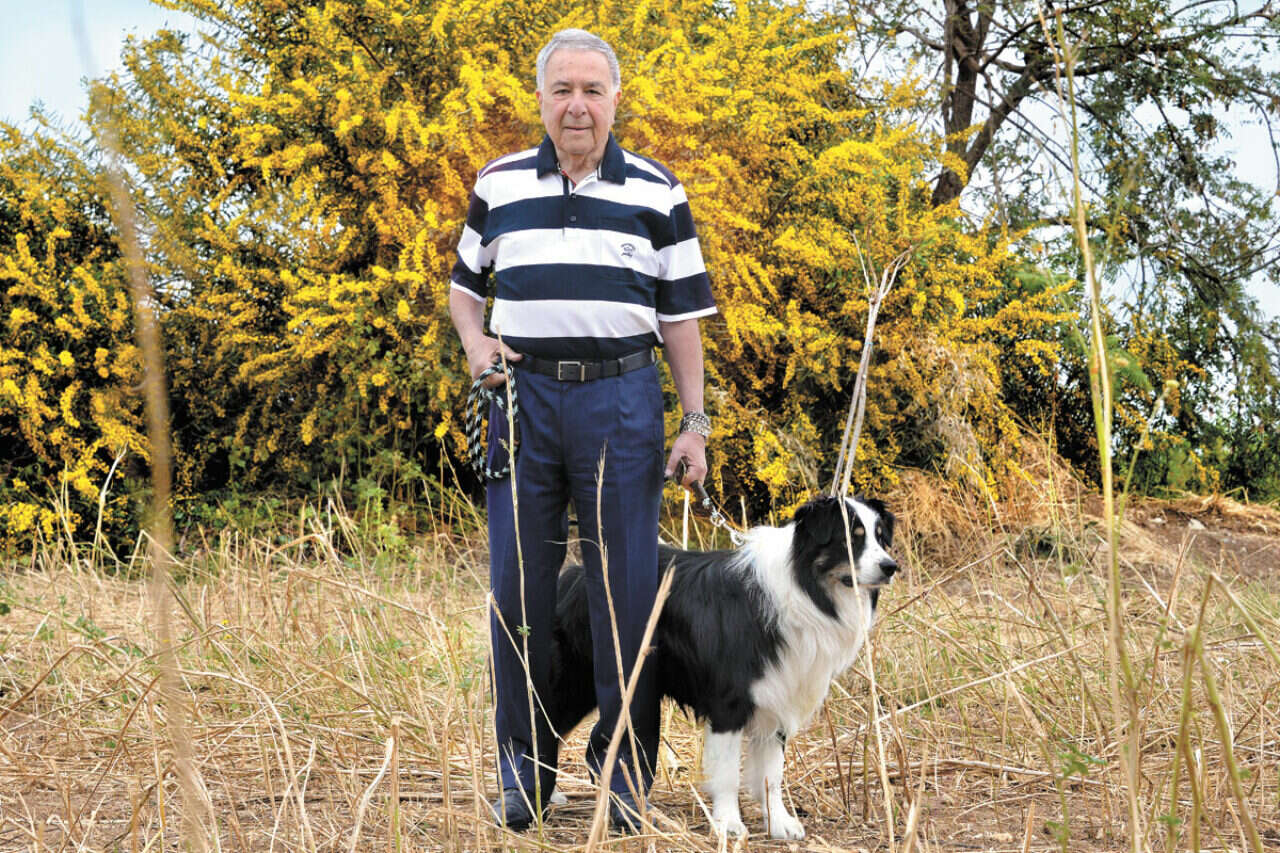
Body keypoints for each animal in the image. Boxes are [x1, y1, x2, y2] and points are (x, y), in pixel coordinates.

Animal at [548, 495, 898, 839]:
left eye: (881, 537)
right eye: (850, 538)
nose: (891, 567)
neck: (802, 590)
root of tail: (571, 572)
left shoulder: (778, 695)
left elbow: (772, 775)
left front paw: (779, 822)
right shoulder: (729, 704)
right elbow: (728, 772)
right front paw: (728, 823)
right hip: (575, 683)